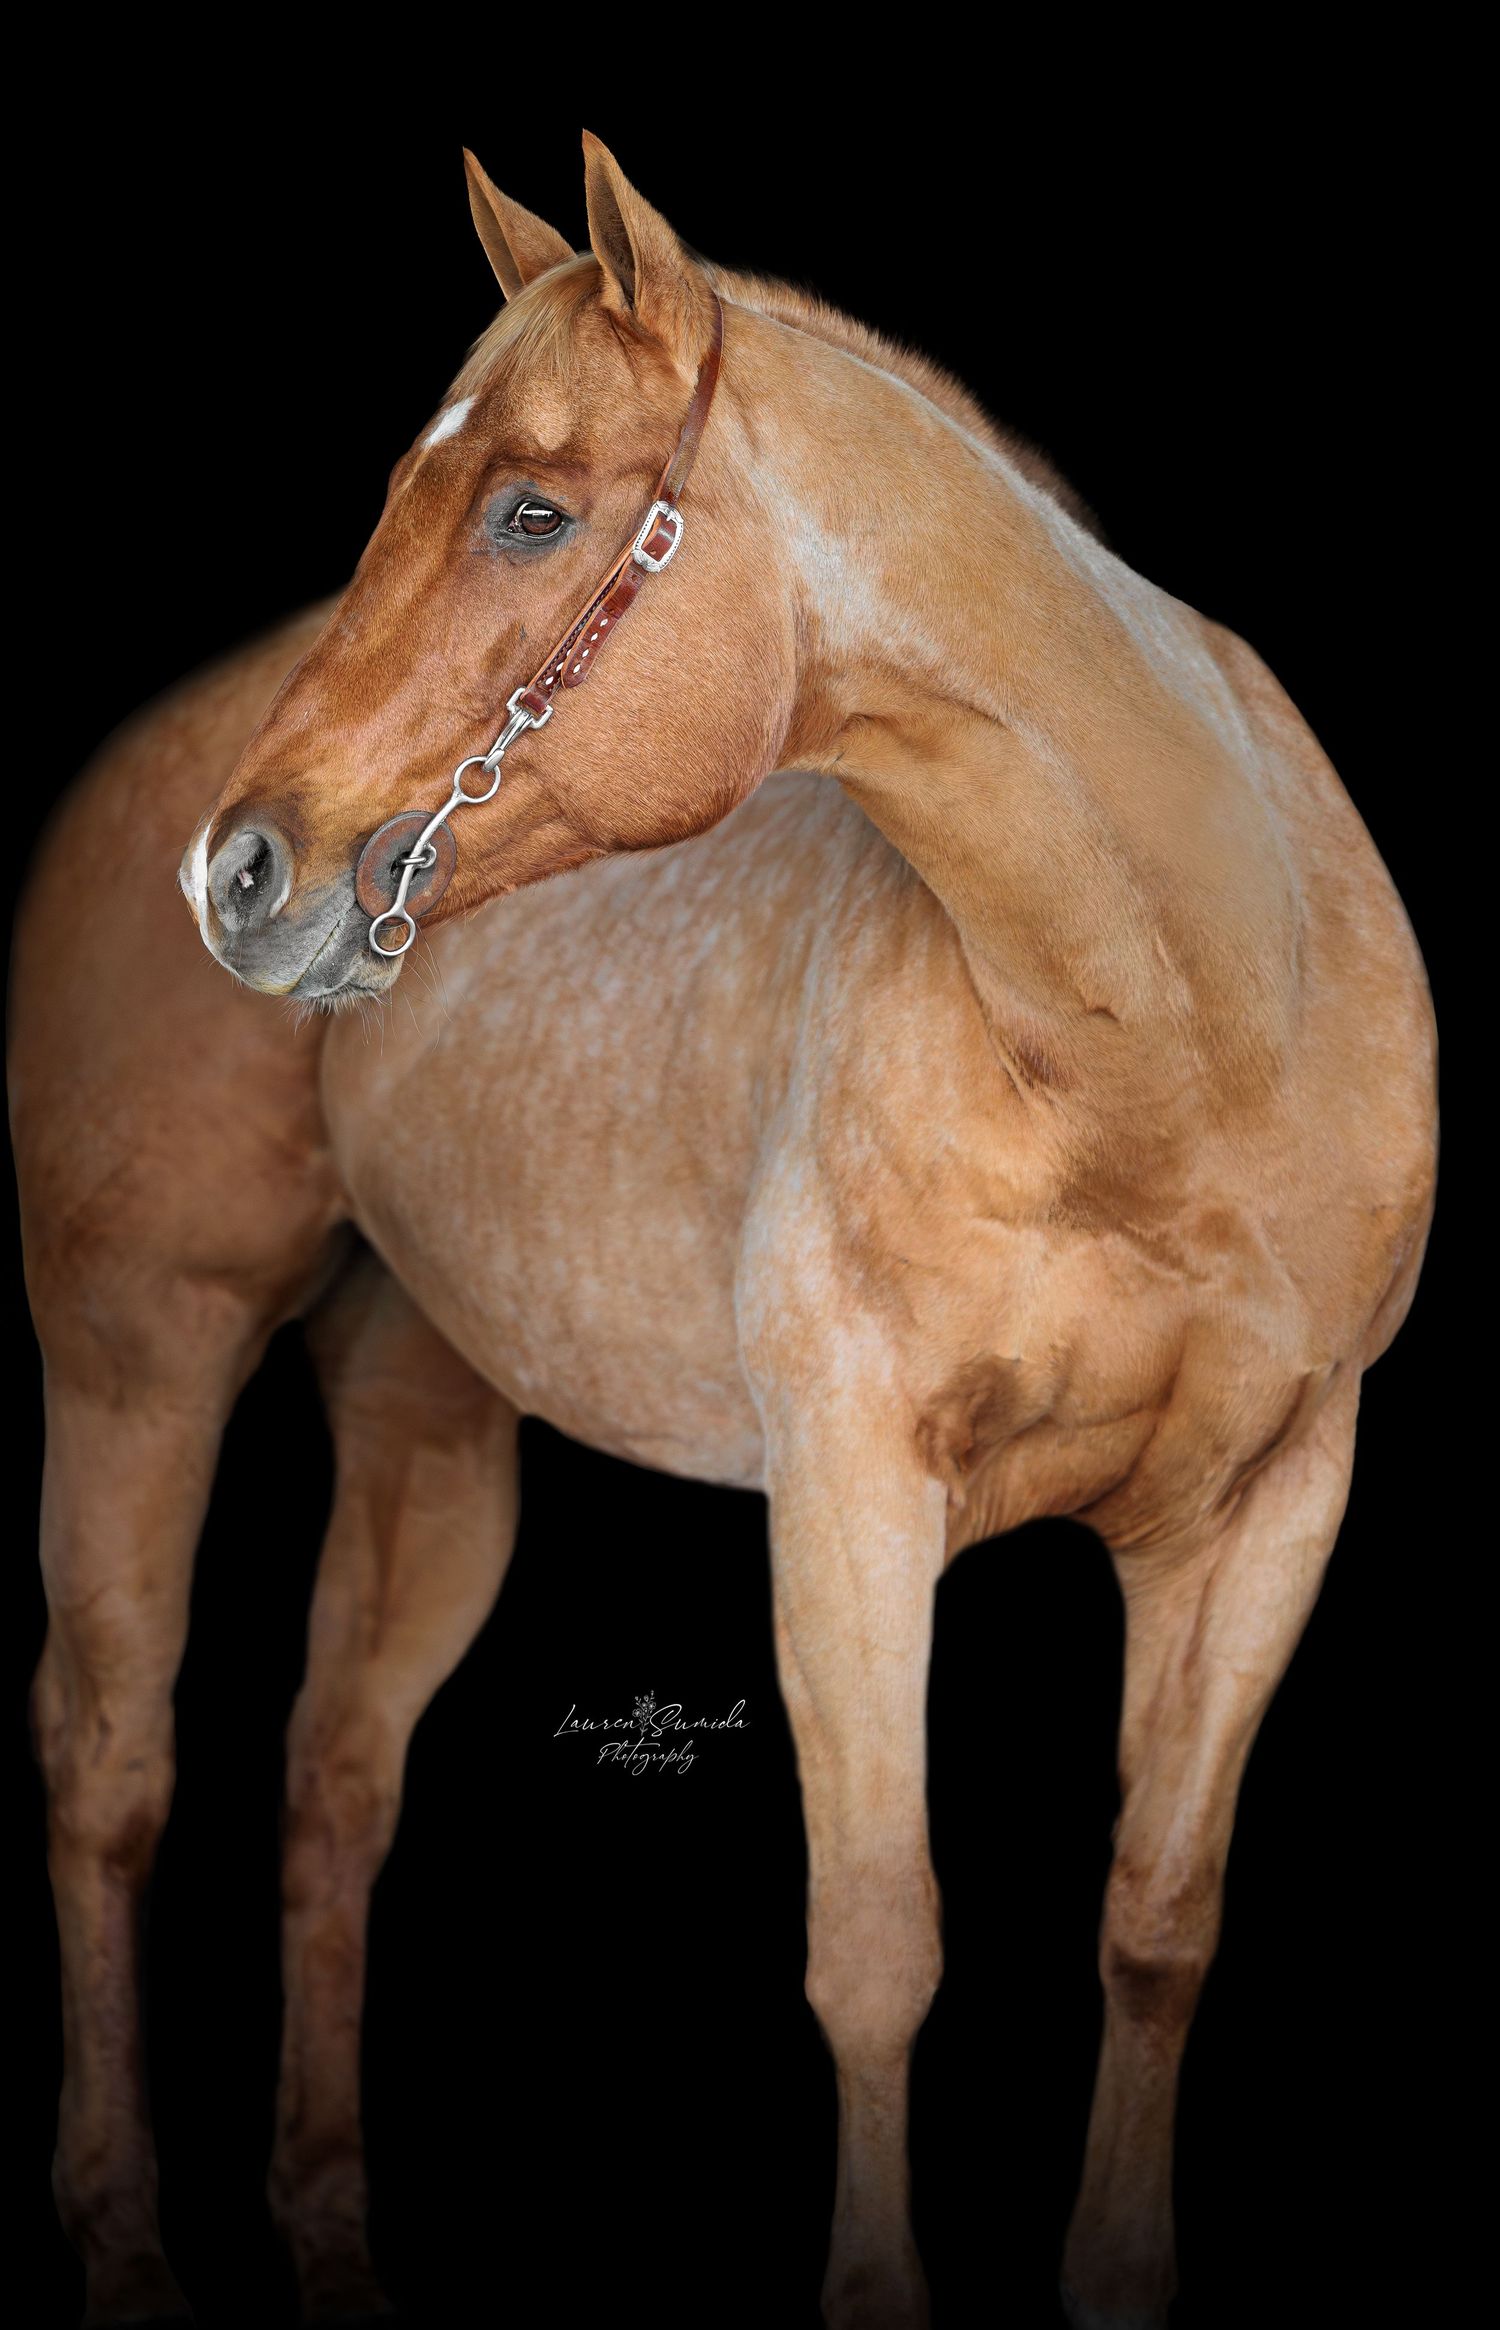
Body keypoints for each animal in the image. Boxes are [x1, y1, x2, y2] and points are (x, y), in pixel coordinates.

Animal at [13, 137, 1436, 2330]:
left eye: (531, 508)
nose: (241, 875)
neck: (1192, 1036)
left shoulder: (1275, 1500)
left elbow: (1156, 1928)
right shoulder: (851, 1491)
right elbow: (878, 1949)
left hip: (424, 1407)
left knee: (335, 1777)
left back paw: (332, 2247)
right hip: (138, 1354)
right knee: (110, 1757)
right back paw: (128, 2249)